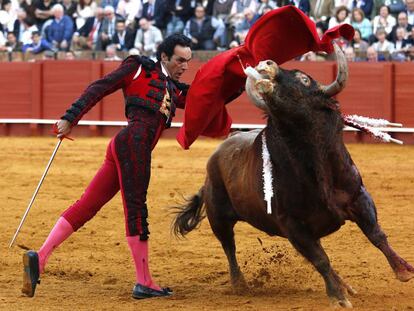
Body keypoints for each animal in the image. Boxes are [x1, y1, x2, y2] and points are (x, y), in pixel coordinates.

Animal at [172, 42, 414, 308]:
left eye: (304, 79)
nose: (266, 64)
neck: (315, 163)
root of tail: (219, 151)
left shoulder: (359, 197)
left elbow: (376, 234)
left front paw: (403, 270)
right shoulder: (292, 224)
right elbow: (320, 259)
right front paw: (338, 298)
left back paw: (346, 285)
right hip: (219, 215)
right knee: (229, 246)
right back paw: (240, 284)